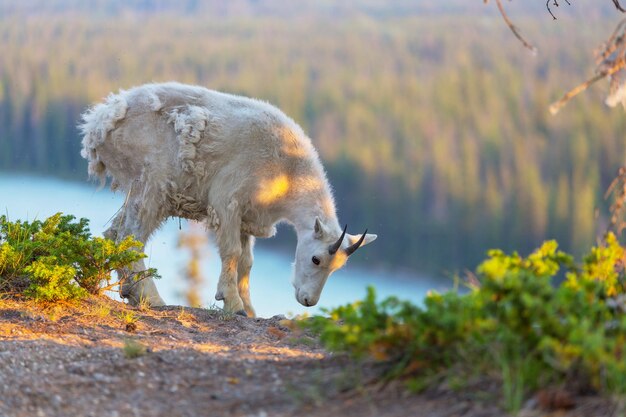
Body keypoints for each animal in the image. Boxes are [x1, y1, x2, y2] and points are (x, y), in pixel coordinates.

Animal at [81, 82, 378, 316]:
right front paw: (234, 305)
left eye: (337, 268)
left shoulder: (248, 217)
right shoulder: (227, 202)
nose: (308, 301)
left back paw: (122, 290)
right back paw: (150, 297)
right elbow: (232, 253)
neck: (288, 170)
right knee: (130, 238)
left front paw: (250, 309)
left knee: (114, 232)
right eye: (316, 259)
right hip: (151, 184)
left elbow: (247, 262)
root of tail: (98, 124)